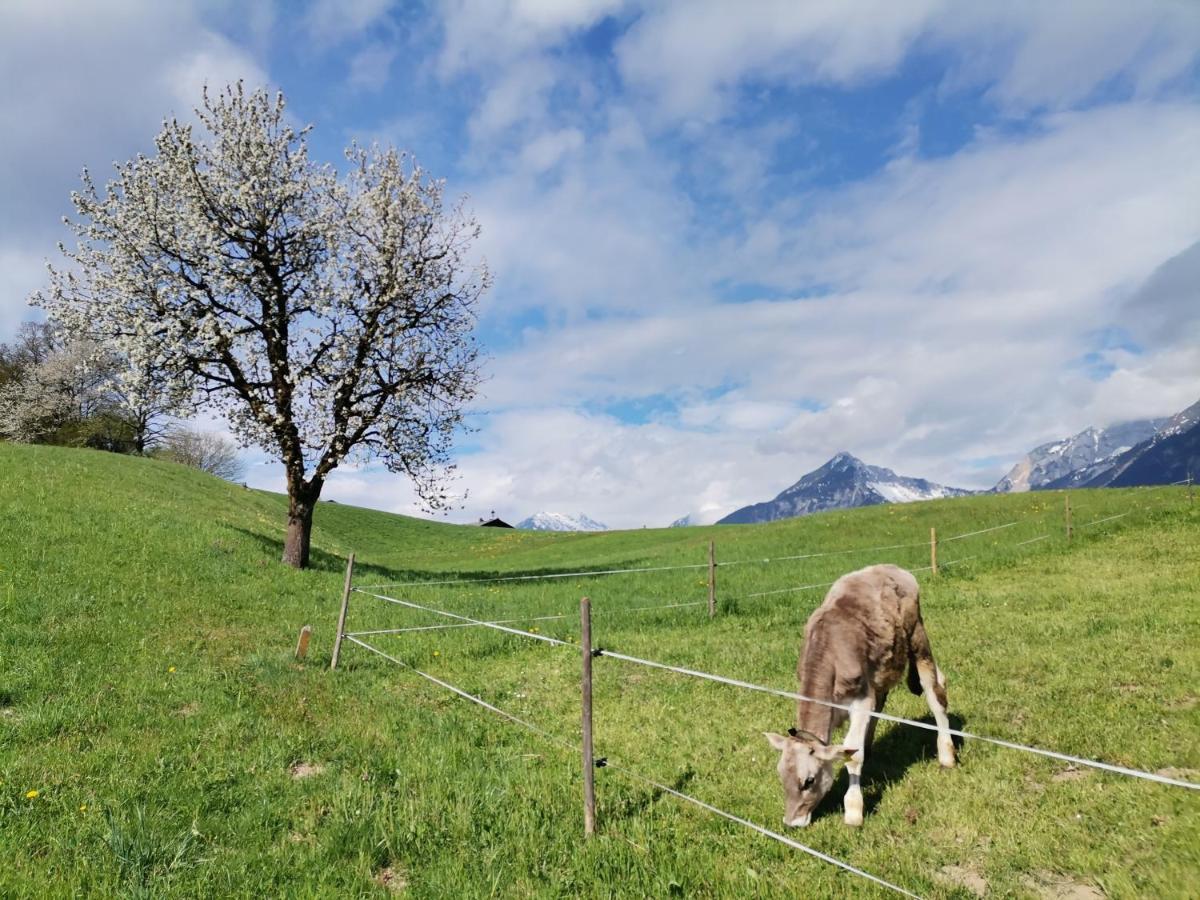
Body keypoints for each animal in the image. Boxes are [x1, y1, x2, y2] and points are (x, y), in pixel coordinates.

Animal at [768, 566, 955, 830]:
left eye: (809, 781)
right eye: (781, 776)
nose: (792, 822)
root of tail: (893, 568)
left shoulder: (860, 700)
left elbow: (853, 757)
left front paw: (854, 810)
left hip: (918, 637)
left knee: (935, 691)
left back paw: (947, 754)